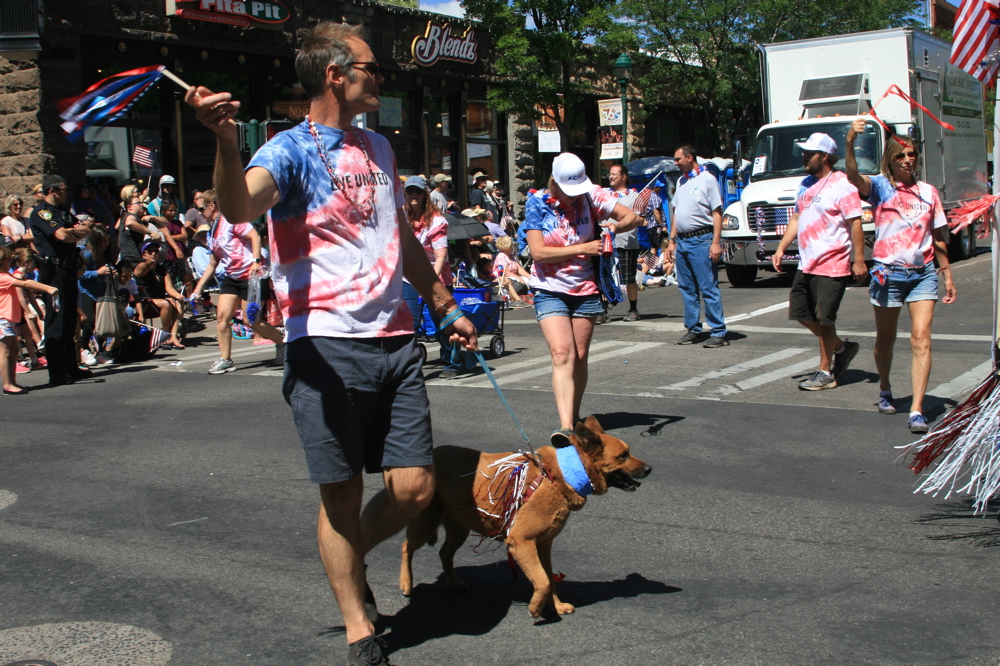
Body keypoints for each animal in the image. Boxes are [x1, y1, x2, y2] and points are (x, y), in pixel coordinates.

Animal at [398, 416, 648, 616]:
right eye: (623, 456)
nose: (649, 469)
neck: (559, 476)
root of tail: (431, 455)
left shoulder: (543, 545)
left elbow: (549, 579)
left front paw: (556, 606)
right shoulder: (521, 542)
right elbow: (544, 581)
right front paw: (536, 608)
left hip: (460, 527)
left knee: (444, 553)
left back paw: (452, 583)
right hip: (426, 523)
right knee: (406, 546)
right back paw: (406, 583)